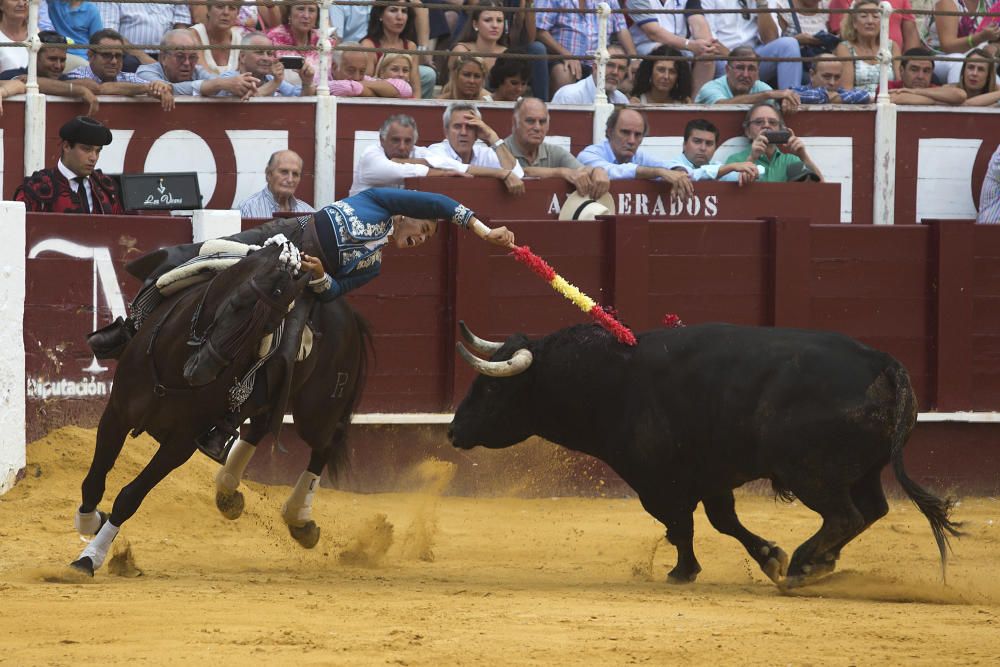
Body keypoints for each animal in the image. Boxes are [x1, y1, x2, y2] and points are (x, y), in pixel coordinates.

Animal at [71, 236, 372, 580]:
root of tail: (347, 311)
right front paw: (91, 522)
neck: (174, 366)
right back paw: (228, 493)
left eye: (269, 327)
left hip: (317, 412)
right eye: (238, 302)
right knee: (259, 428)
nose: (201, 371)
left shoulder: (180, 444)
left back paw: (299, 519)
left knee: (323, 443)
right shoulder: (117, 414)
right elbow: (94, 480)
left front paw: (90, 557)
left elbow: (130, 496)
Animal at [452, 320, 960, 588]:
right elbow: (722, 521)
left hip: (810, 472)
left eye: (491, 389)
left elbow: (681, 525)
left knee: (845, 515)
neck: (610, 378)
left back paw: (802, 565)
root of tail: (883, 363)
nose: (454, 431)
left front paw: (683, 572)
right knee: (870, 510)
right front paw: (767, 555)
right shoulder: (713, 476)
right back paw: (818, 563)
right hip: (861, 471)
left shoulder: (657, 480)